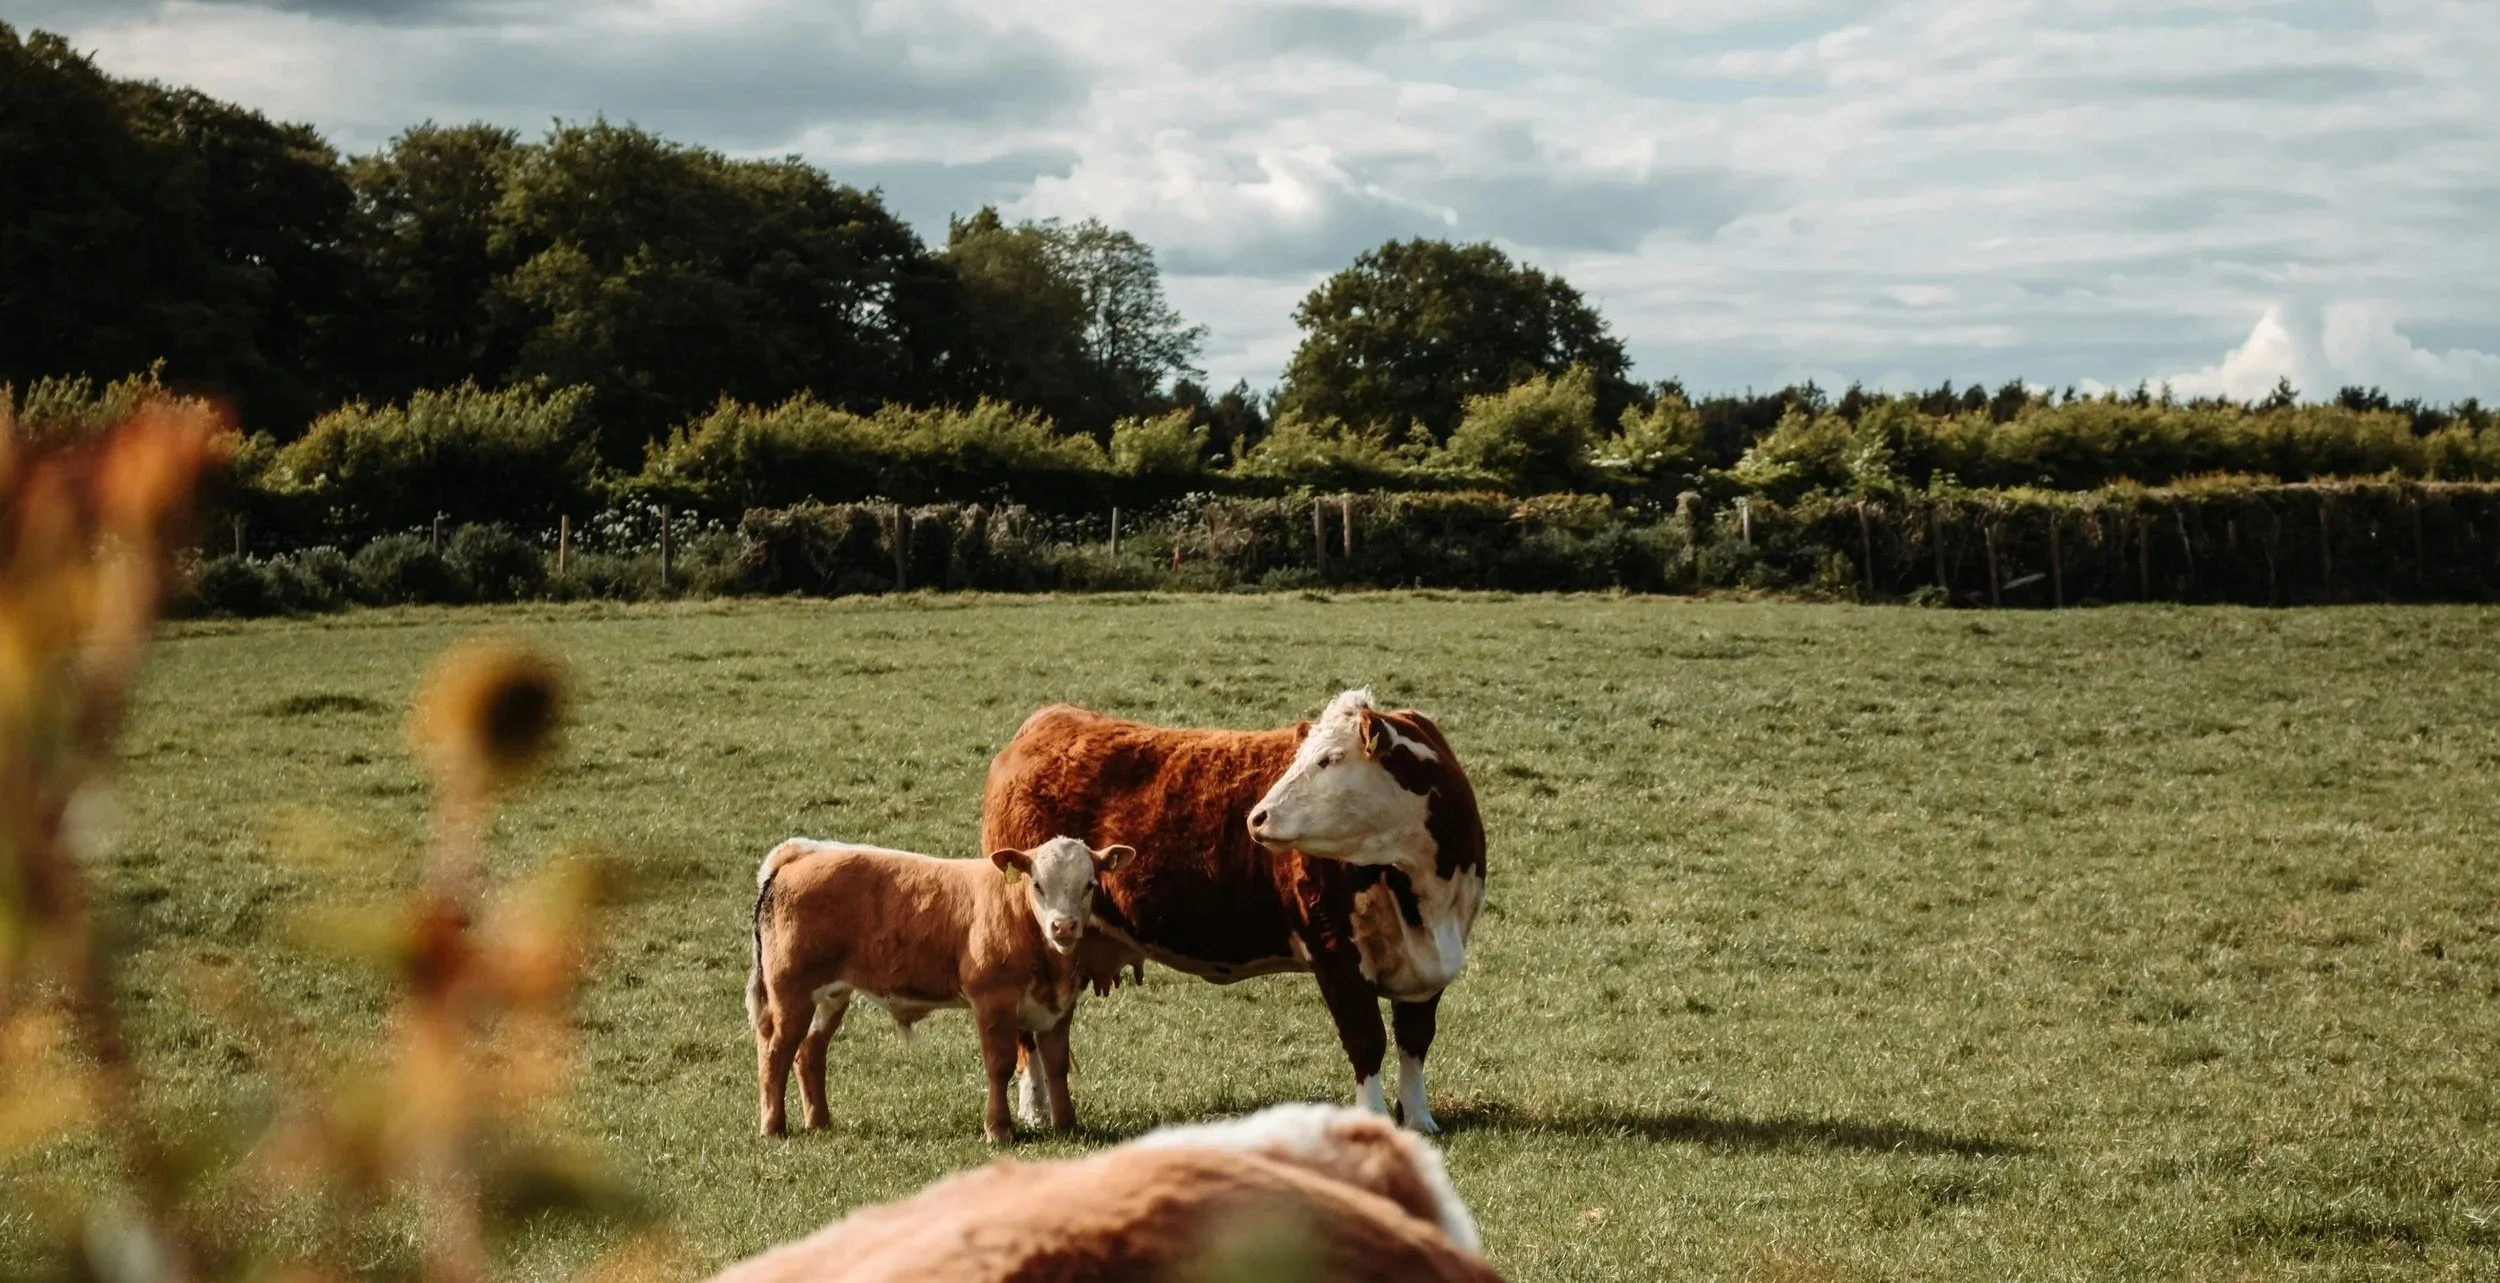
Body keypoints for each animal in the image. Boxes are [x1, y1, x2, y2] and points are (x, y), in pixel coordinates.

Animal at [745, 835, 1131, 1142]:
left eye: (1090, 884)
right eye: (1037, 884)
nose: (1063, 926)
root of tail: (804, 852)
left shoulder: (1059, 1007)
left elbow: (1056, 1065)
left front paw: (1066, 1125)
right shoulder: (993, 1001)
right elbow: (999, 1065)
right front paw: (998, 1129)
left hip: (831, 993)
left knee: (809, 1049)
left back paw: (820, 1122)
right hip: (791, 990)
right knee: (776, 1047)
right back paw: (774, 1127)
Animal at [980, 688, 1485, 1133]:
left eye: (1329, 759)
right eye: (1300, 758)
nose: (1257, 816)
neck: (1422, 891)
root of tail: (1048, 720)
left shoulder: (1432, 964)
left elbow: (1414, 1042)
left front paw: (1419, 1119)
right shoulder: (1335, 952)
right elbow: (1366, 1041)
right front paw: (1376, 1119)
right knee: (1027, 1037)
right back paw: (1034, 1110)